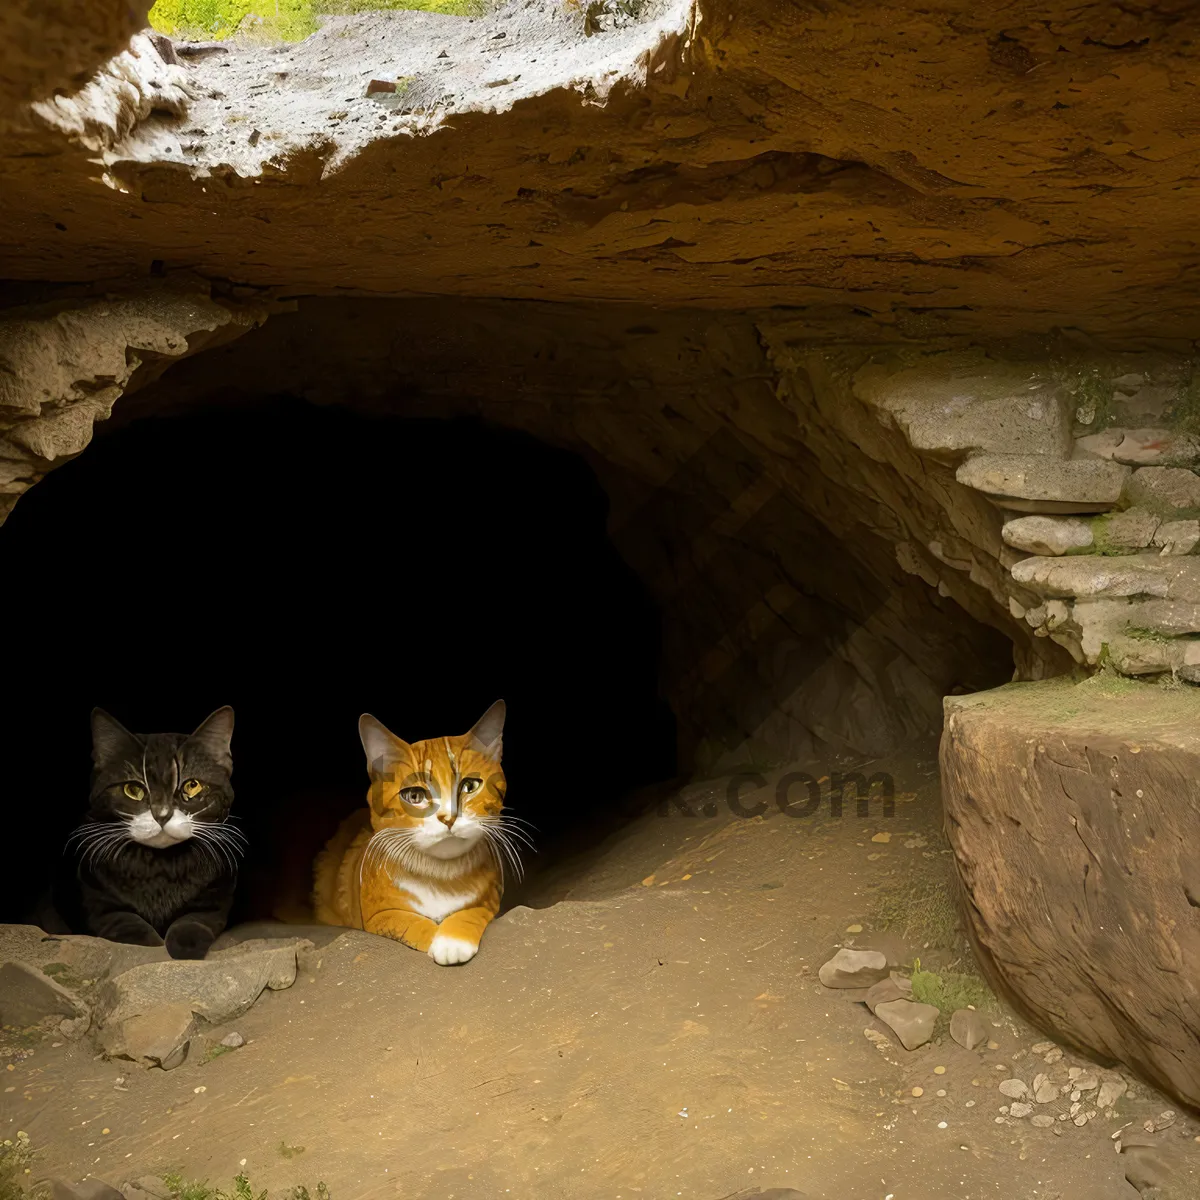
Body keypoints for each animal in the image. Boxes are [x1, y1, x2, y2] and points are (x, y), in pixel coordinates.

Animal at [68, 705, 243, 960]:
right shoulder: (98, 899)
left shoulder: (215, 896)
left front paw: (186, 945)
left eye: (192, 785)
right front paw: (152, 944)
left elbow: (195, 920)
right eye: (133, 789)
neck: (160, 865)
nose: (162, 814)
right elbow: (123, 922)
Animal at [309, 700, 525, 964]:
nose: (448, 817)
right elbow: (410, 923)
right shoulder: (377, 916)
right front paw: (440, 940)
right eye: (414, 796)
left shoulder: (491, 898)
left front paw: (453, 939)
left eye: (470, 786)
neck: (441, 875)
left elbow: (473, 911)